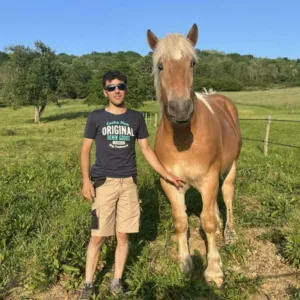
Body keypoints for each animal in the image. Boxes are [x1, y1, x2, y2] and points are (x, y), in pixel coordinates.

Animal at [146, 23, 243, 286]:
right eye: (160, 66)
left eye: (192, 63)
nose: (180, 110)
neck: (183, 140)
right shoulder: (171, 183)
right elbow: (181, 222)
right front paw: (185, 263)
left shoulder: (208, 179)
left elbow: (208, 223)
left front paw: (214, 270)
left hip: (231, 167)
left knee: (227, 196)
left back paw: (229, 232)